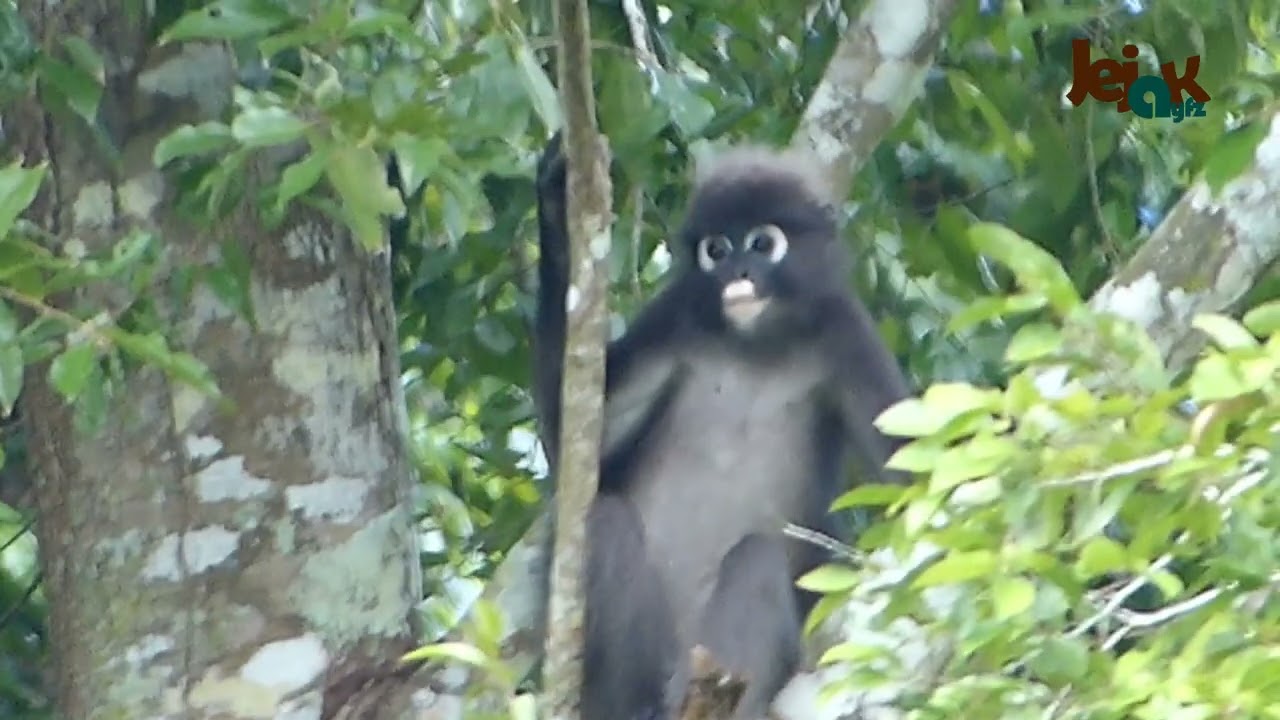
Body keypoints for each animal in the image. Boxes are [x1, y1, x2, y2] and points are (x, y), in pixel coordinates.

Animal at [531, 131, 912, 720]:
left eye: (761, 243)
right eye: (717, 249)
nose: (737, 276)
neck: (755, 346)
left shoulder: (846, 332)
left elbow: (917, 480)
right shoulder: (675, 317)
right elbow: (574, 449)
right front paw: (555, 204)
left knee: (757, 557)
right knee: (605, 518)